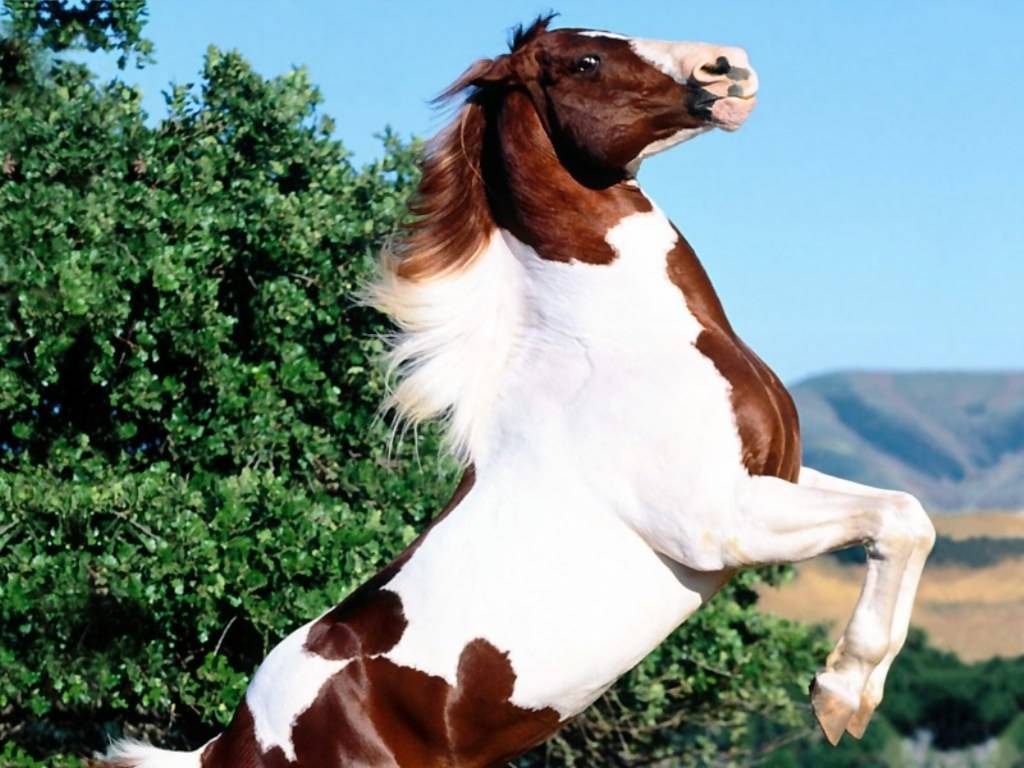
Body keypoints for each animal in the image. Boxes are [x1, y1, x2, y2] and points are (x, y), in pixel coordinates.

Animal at [103, 16, 935, 768]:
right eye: (585, 60)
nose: (729, 67)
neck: (618, 343)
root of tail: (227, 747)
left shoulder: (775, 476)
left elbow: (910, 518)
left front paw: (849, 693)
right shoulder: (723, 521)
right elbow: (896, 522)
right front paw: (840, 696)